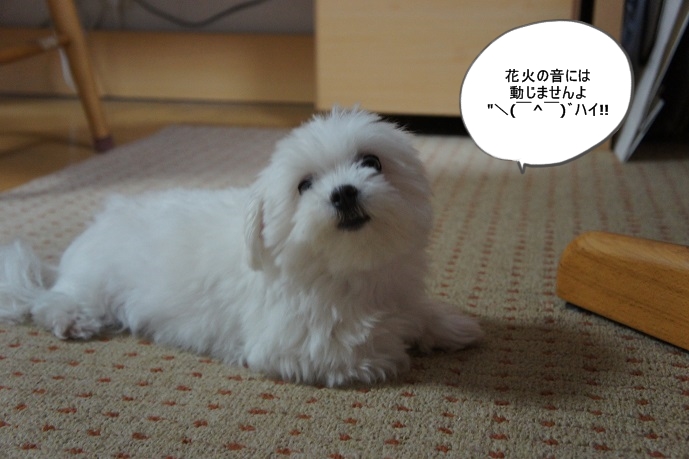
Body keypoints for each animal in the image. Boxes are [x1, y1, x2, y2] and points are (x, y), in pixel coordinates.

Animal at [0, 108, 482, 387]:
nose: (344, 192)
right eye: (304, 185)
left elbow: (417, 312)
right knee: (50, 301)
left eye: (372, 162)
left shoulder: (398, 289)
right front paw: (394, 347)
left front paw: (447, 325)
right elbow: (363, 352)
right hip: (93, 284)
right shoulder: (291, 345)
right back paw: (70, 319)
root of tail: (101, 219)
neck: (350, 271)